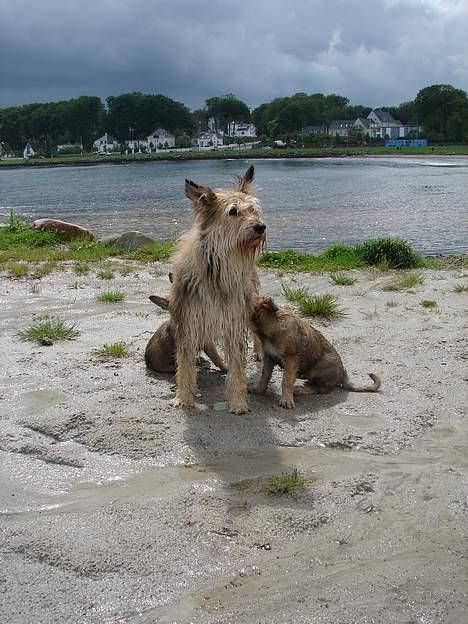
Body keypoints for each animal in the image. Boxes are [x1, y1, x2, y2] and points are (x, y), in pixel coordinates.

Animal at [249, 298, 380, 410]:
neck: (273, 324)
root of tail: (342, 374)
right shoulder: (269, 357)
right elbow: (265, 375)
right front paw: (258, 389)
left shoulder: (291, 360)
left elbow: (286, 381)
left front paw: (286, 400)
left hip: (319, 368)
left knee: (322, 389)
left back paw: (300, 390)